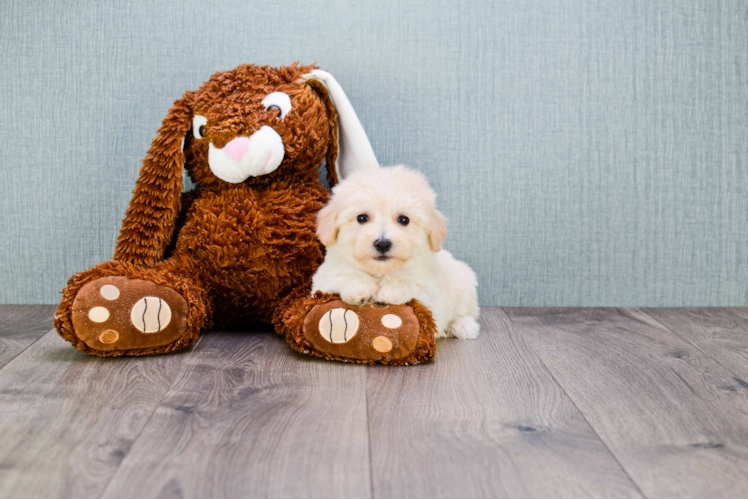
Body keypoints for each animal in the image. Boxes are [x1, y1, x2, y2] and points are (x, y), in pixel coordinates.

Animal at [312, 165, 482, 340]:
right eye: (362, 218)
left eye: (404, 220)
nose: (382, 243)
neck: (380, 272)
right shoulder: (323, 280)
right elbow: (344, 276)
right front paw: (359, 291)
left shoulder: (433, 298)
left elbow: (412, 283)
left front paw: (392, 290)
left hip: (465, 286)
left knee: (467, 312)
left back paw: (463, 326)